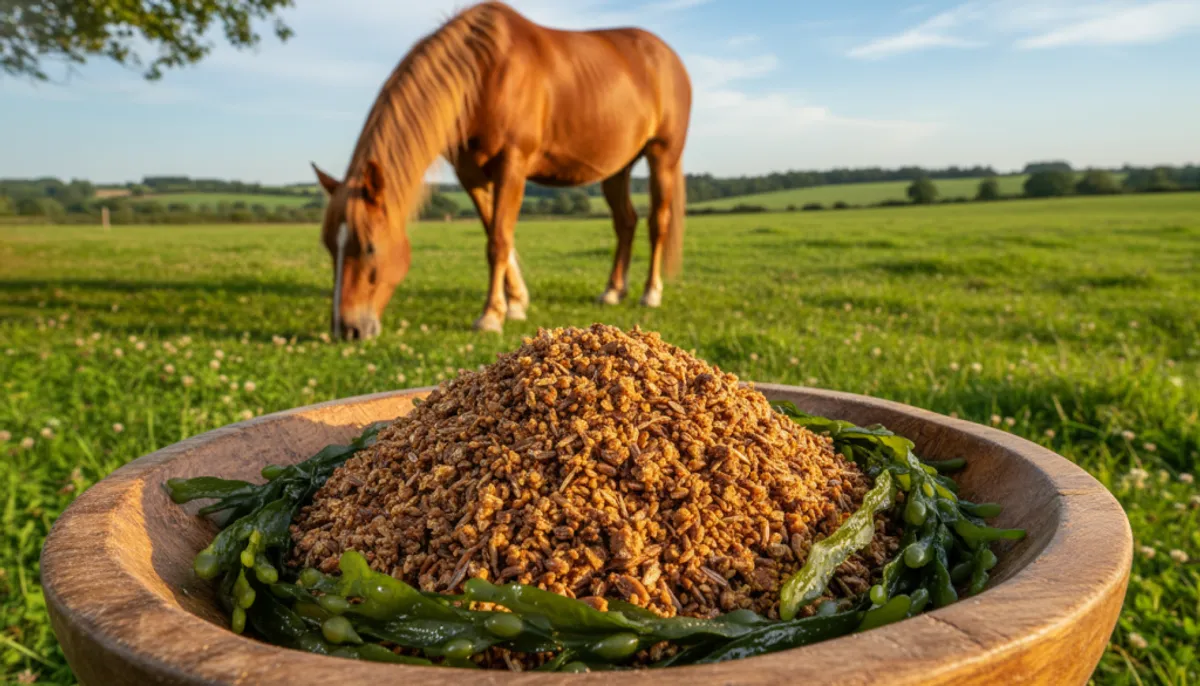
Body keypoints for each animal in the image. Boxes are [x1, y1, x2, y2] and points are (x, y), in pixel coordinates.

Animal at [311, 1, 691, 338]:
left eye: (370, 247)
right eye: (329, 246)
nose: (347, 330)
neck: (484, 73)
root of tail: (670, 57)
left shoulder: (512, 164)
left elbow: (498, 240)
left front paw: (491, 315)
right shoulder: (471, 174)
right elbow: (494, 233)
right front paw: (517, 302)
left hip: (662, 157)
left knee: (657, 222)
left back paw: (650, 293)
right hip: (617, 169)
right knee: (625, 222)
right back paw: (613, 290)